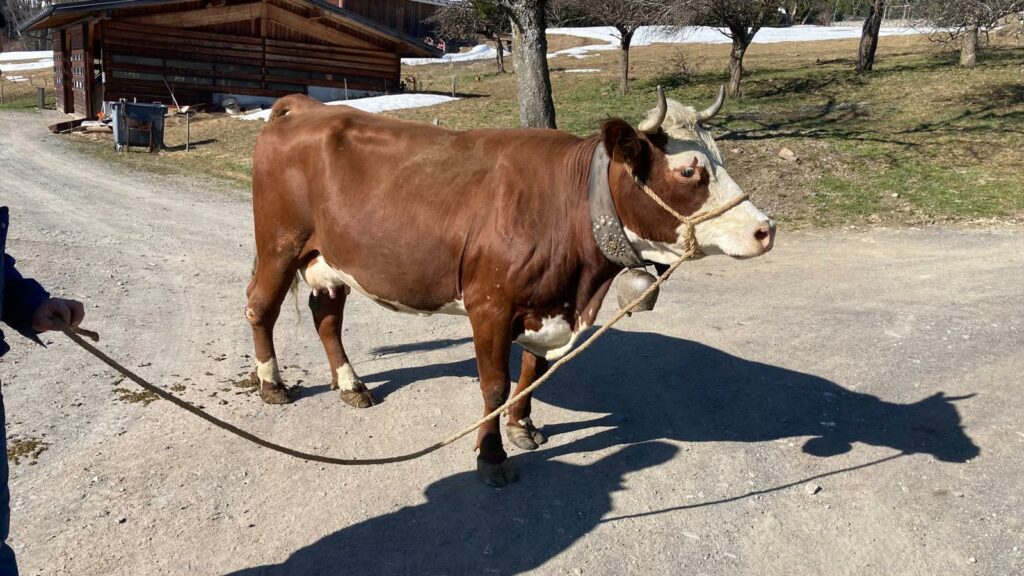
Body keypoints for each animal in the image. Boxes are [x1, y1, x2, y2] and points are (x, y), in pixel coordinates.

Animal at [245, 88, 775, 486]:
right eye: (688, 170)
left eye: (722, 158)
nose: (764, 230)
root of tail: (304, 106)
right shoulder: (490, 305)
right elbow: (494, 384)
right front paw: (491, 455)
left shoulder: (547, 305)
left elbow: (532, 370)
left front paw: (523, 427)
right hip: (279, 243)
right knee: (261, 306)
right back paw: (272, 384)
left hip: (330, 257)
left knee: (326, 315)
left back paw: (351, 385)